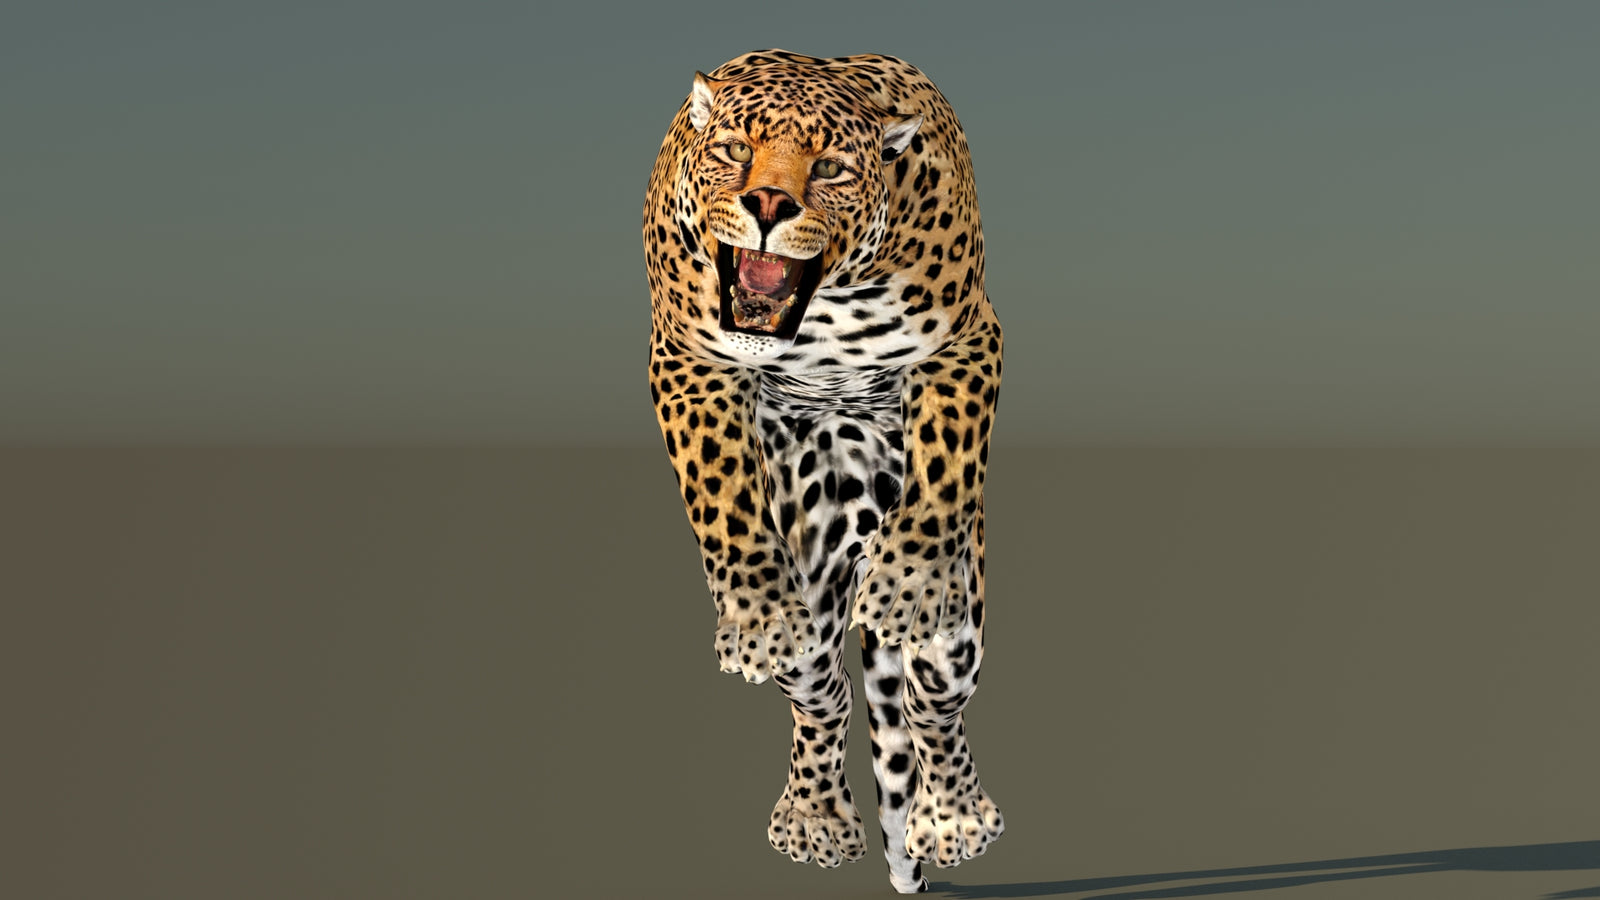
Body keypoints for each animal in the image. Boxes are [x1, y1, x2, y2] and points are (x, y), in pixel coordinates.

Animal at [643, 50, 1004, 894]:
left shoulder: (970, 341)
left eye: (832, 168)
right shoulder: (687, 359)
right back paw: (814, 817)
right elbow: (719, 490)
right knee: (824, 696)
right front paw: (755, 612)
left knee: (933, 704)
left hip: (960, 627)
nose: (769, 203)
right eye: (734, 150)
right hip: (812, 581)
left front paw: (909, 580)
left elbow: (947, 458)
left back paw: (954, 819)